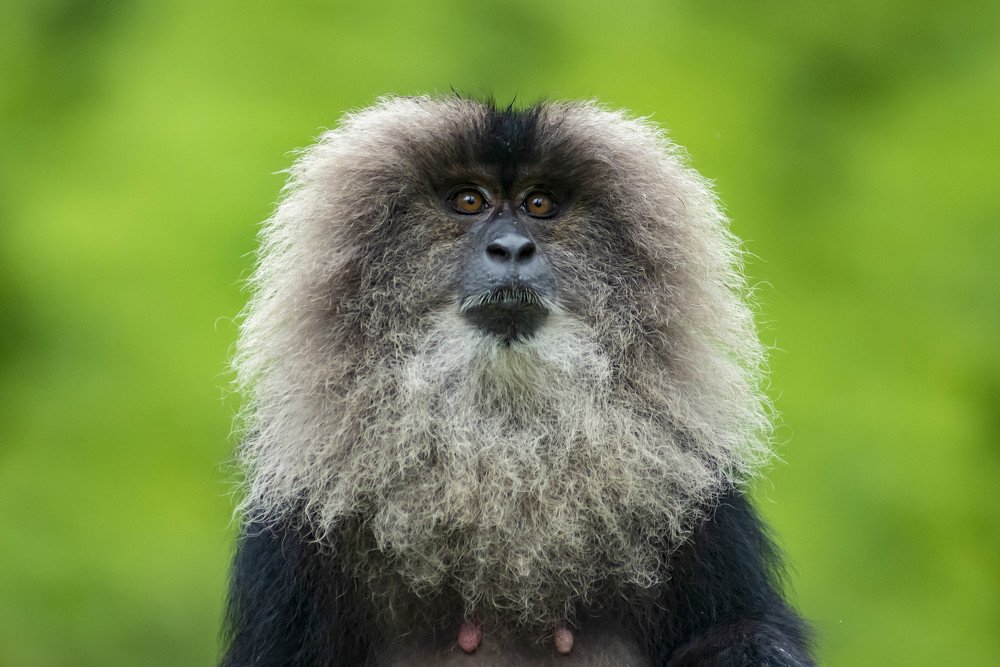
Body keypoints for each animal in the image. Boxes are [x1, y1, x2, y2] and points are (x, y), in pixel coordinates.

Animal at [223, 96, 814, 666]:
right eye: (468, 201)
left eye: (539, 204)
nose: (511, 249)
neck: (505, 443)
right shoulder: (293, 536)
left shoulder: (704, 509)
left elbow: (748, 636)